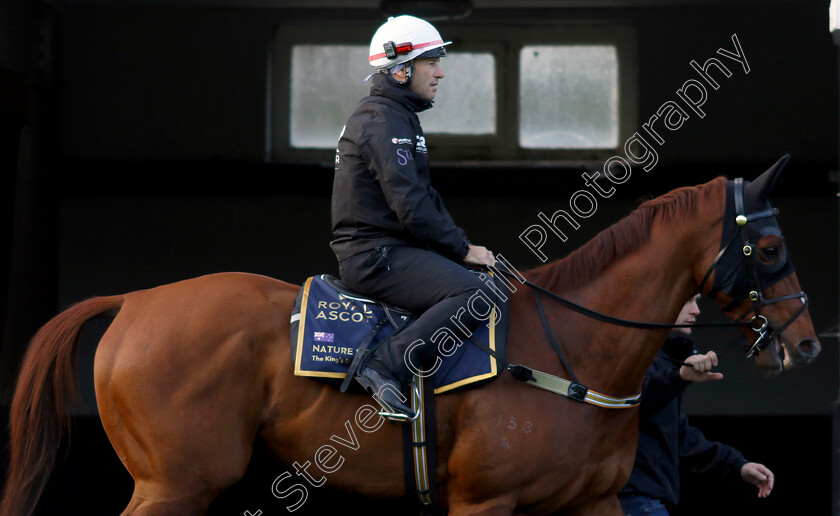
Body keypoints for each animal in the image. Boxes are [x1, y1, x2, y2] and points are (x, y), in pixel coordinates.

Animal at [0, 159, 820, 512]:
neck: (572, 348)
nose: (809, 345)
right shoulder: (484, 505)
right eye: (770, 247)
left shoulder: (594, 504)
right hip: (177, 482)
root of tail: (137, 300)